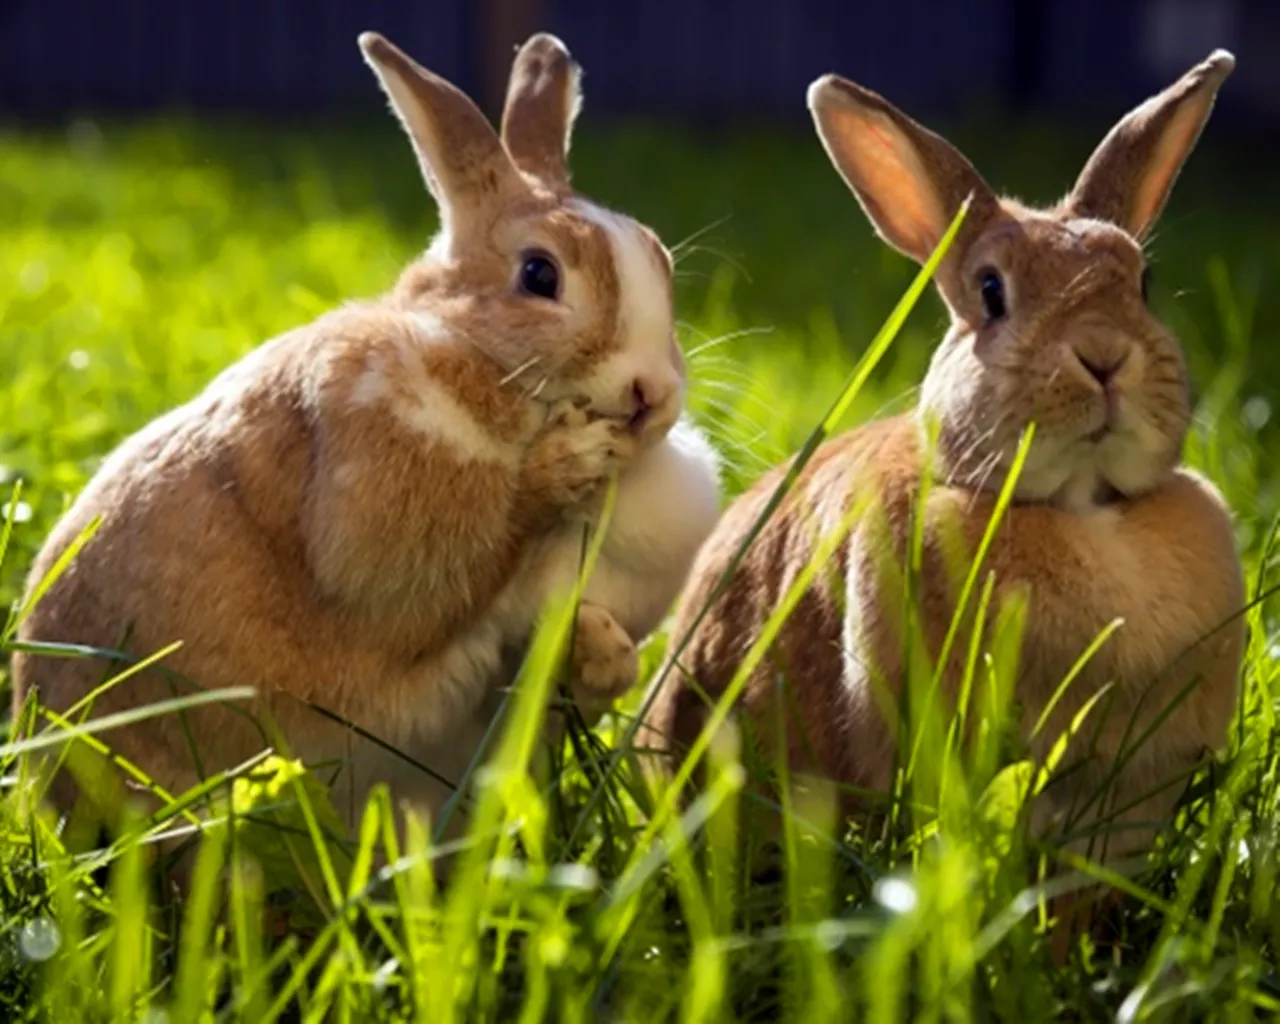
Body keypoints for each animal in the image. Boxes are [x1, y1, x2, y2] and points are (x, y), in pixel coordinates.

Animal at [12, 32, 721, 860]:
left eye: (661, 259)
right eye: (539, 274)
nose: (652, 394)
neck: (479, 360)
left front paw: (605, 653)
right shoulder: (382, 489)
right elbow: (458, 557)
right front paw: (568, 466)